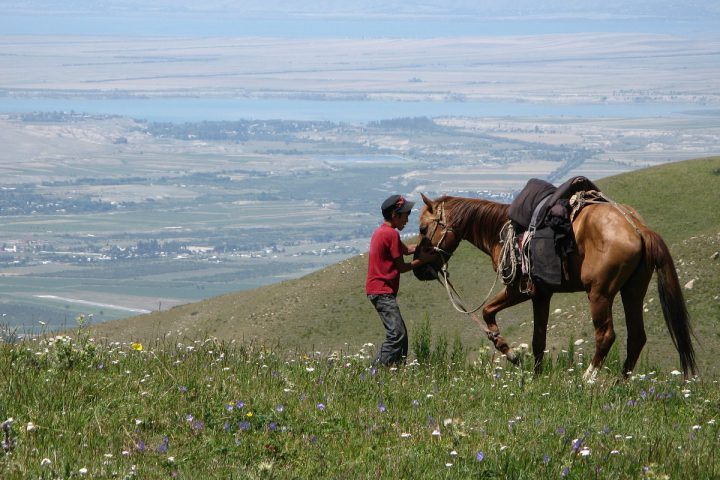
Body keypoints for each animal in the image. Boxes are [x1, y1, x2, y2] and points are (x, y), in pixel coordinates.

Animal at [420, 193, 696, 380]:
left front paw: (511, 354)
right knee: (636, 336)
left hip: (600, 294)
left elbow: (488, 311)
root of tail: (638, 229)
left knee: (606, 336)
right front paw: (536, 377)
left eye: (423, 228)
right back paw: (620, 383)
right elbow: (538, 339)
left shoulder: (519, 290)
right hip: (633, 291)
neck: (500, 231)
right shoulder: (542, 295)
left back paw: (587, 379)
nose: (421, 269)